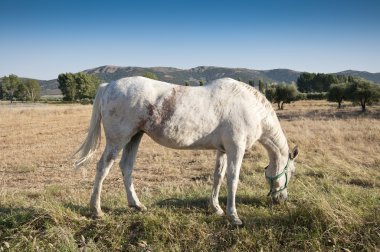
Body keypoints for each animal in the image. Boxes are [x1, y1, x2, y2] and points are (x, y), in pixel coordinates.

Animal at [75, 76, 300, 225]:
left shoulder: (223, 150)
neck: (251, 107)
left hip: (134, 137)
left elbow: (218, 176)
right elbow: (232, 179)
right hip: (118, 139)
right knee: (103, 167)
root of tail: (108, 86)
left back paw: (136, 205)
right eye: (291, 171)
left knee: (126, 167)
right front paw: (233, 216)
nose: (282, 199)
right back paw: (96, 210)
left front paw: (216, 208)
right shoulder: (236, 148)